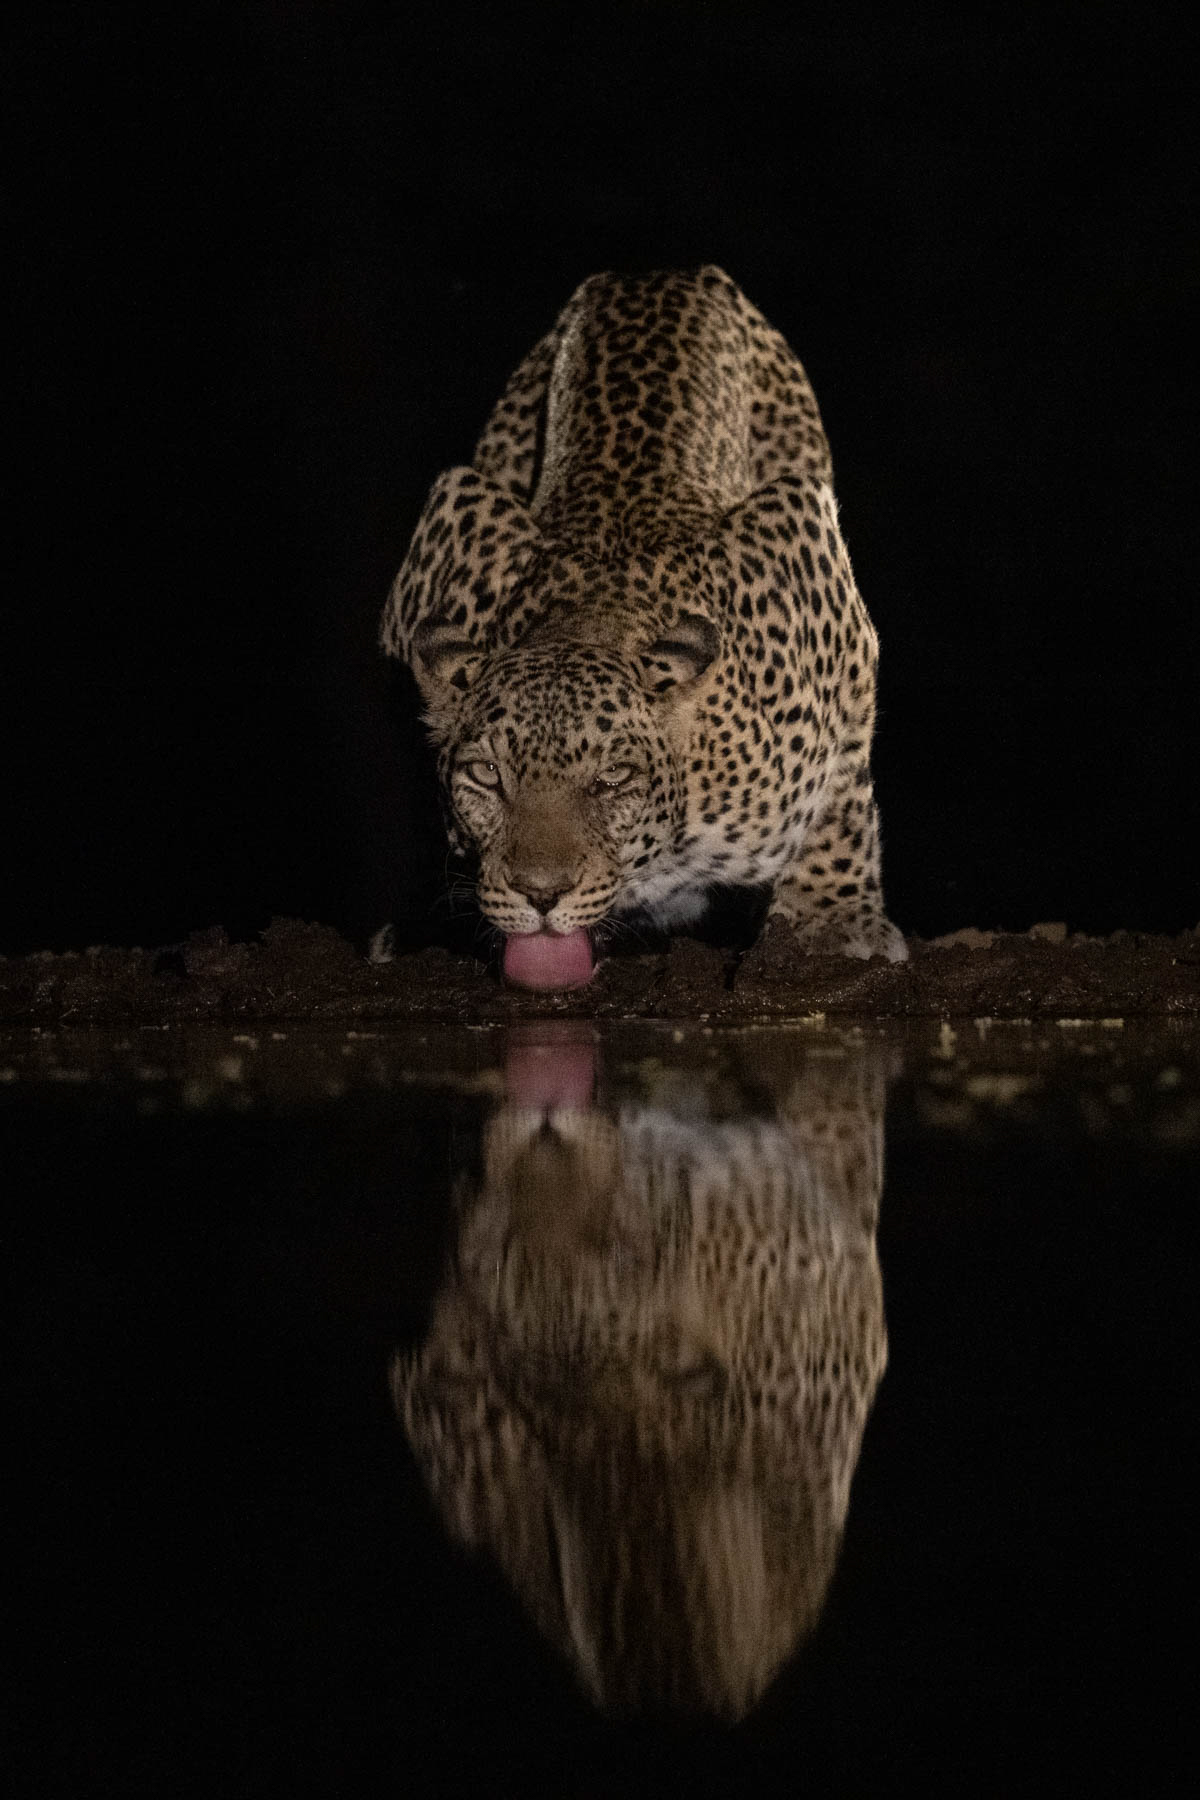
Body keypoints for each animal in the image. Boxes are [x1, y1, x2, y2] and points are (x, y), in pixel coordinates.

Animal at [380, 265, 906, 988]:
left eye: (612, 780)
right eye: (486, 776)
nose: (540, 895)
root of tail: (659, 270)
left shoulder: (825, 592)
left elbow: (841, 798)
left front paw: (832, 921)